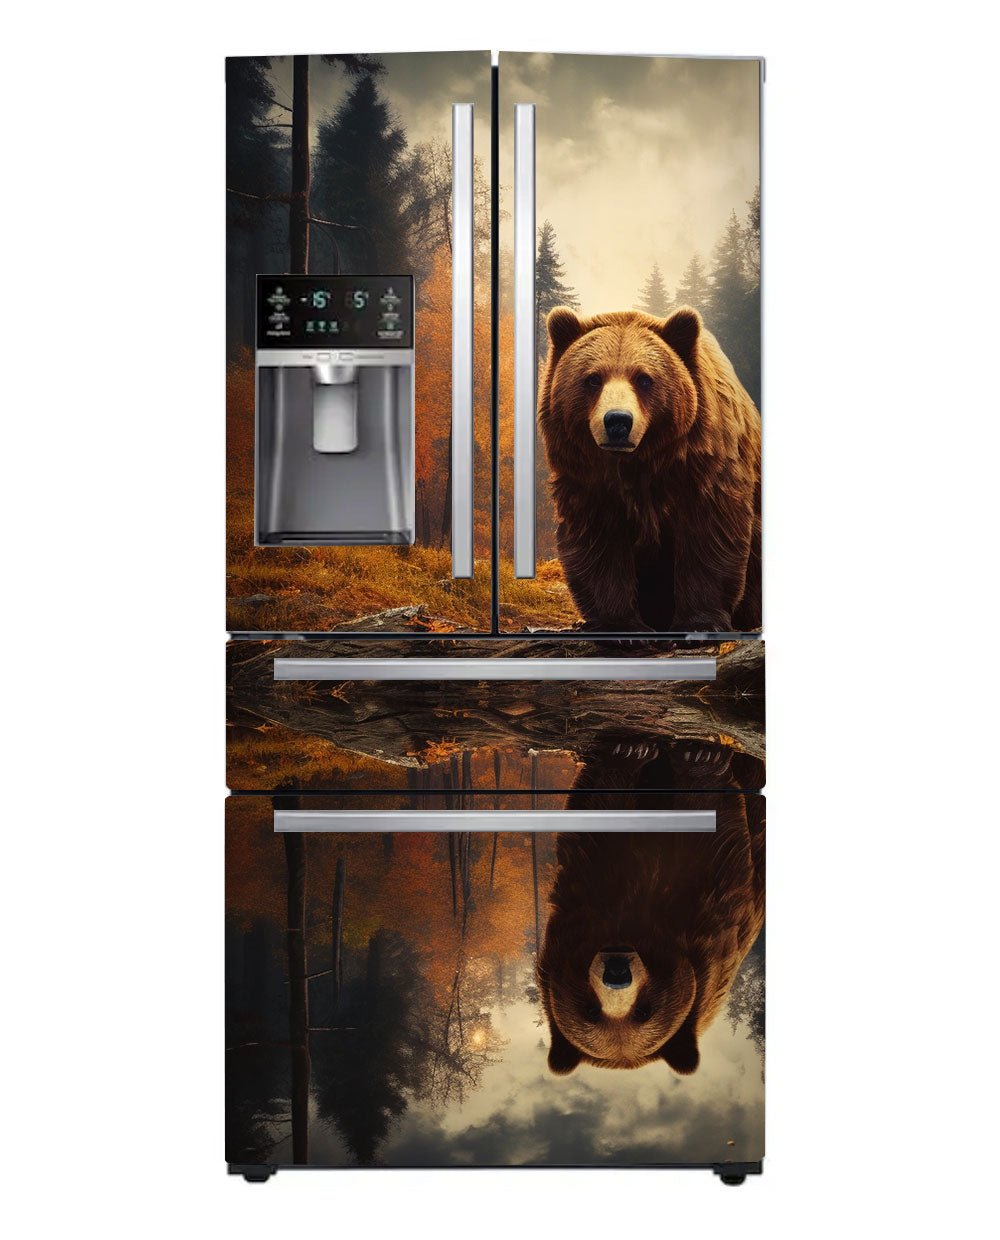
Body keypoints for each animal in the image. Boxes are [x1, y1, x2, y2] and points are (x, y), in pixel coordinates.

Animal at [538, 306, 761, 633]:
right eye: (592, 379)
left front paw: (701, 621)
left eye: (644, 378)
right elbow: (600, 541)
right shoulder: (589, 480)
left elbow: (708, 533)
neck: (640, 462)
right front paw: (620, 625)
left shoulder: (704, 469)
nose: (617, 421)